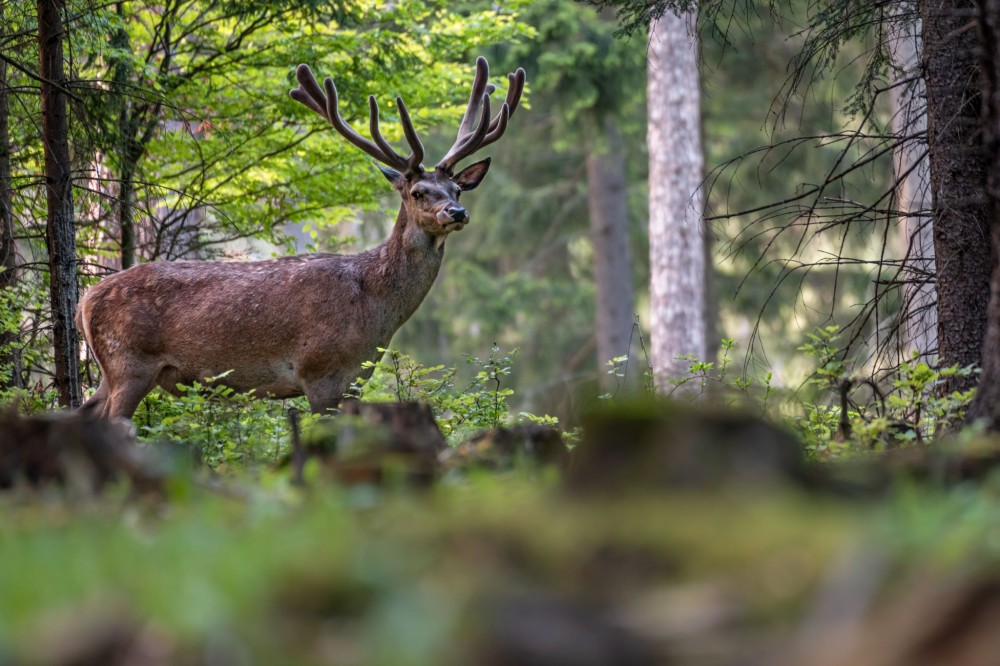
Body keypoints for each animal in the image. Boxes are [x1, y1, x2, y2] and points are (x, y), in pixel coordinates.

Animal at [75, 58, 528, 420]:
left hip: (111, 371)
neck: (375, 310)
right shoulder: (320, 372)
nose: (457, 213)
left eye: (457, 190)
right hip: (129, 363)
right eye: (418, 192)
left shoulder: (356, 380)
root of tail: (85, 300)